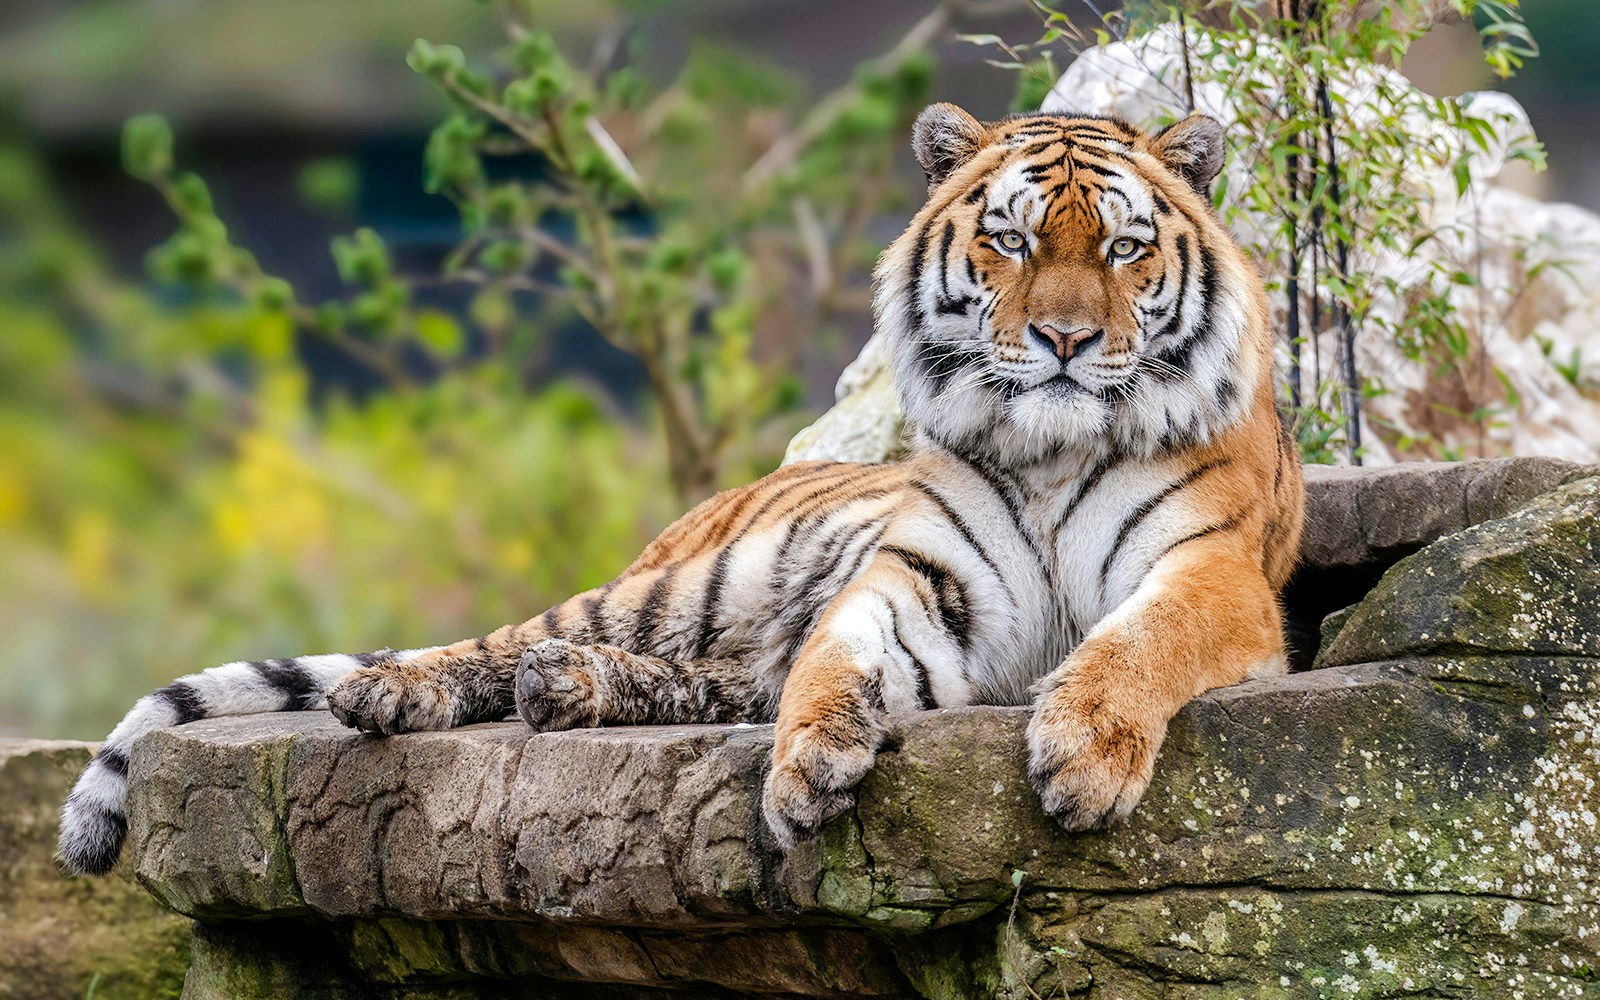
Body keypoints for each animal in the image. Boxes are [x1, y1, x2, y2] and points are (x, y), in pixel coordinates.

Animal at [59, 102, 1304, 875]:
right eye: (1010, 241)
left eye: (1124, 251)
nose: (1062, 339)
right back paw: (405, 692)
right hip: (685, 583)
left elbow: (1134, 642)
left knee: (706, 679)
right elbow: (836, 657)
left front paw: (1083, 757)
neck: (1047, 449)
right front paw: (806, 768)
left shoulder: (1209, 572)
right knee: (500, 644)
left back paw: (569, 690)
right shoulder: (921, 578)